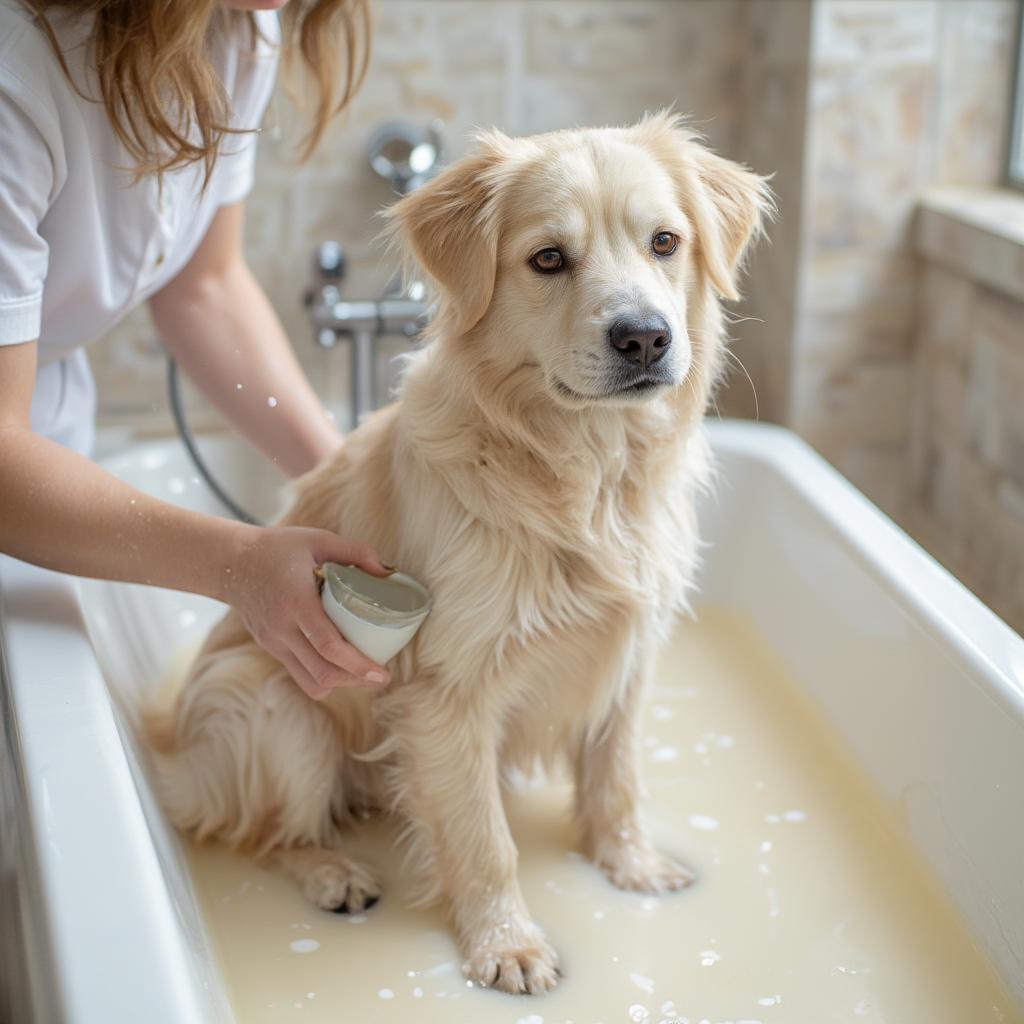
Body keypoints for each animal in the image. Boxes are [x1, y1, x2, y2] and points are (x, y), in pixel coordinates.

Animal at [142, 110, 770, 991]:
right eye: (549, 258)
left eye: (665, 242)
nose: (644, 338)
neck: (588, 475)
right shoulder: (447, 693)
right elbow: (483, 840)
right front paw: (507, 945)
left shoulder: (629, 654)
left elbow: (615, 780)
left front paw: (631, 865)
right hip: (273, 705)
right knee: (266, 833)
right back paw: (332, 872)